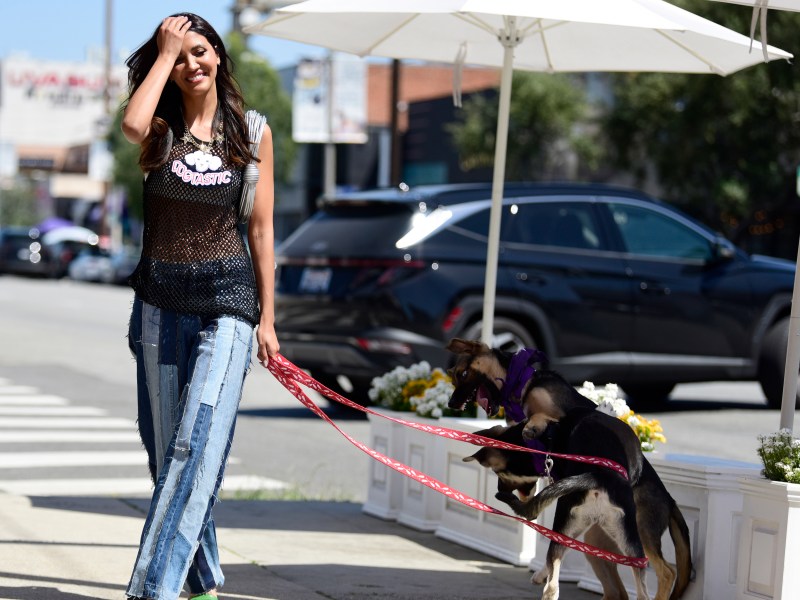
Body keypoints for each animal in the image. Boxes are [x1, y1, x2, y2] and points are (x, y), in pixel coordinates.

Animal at [446, 338, 692, 600]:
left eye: (462, 374)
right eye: (454, 377)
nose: (451, 404)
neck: (522, 385)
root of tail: (669, 500)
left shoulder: (560, 413)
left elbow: (541, 418)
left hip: (641, 530)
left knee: (666, 572)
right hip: (599, 537)